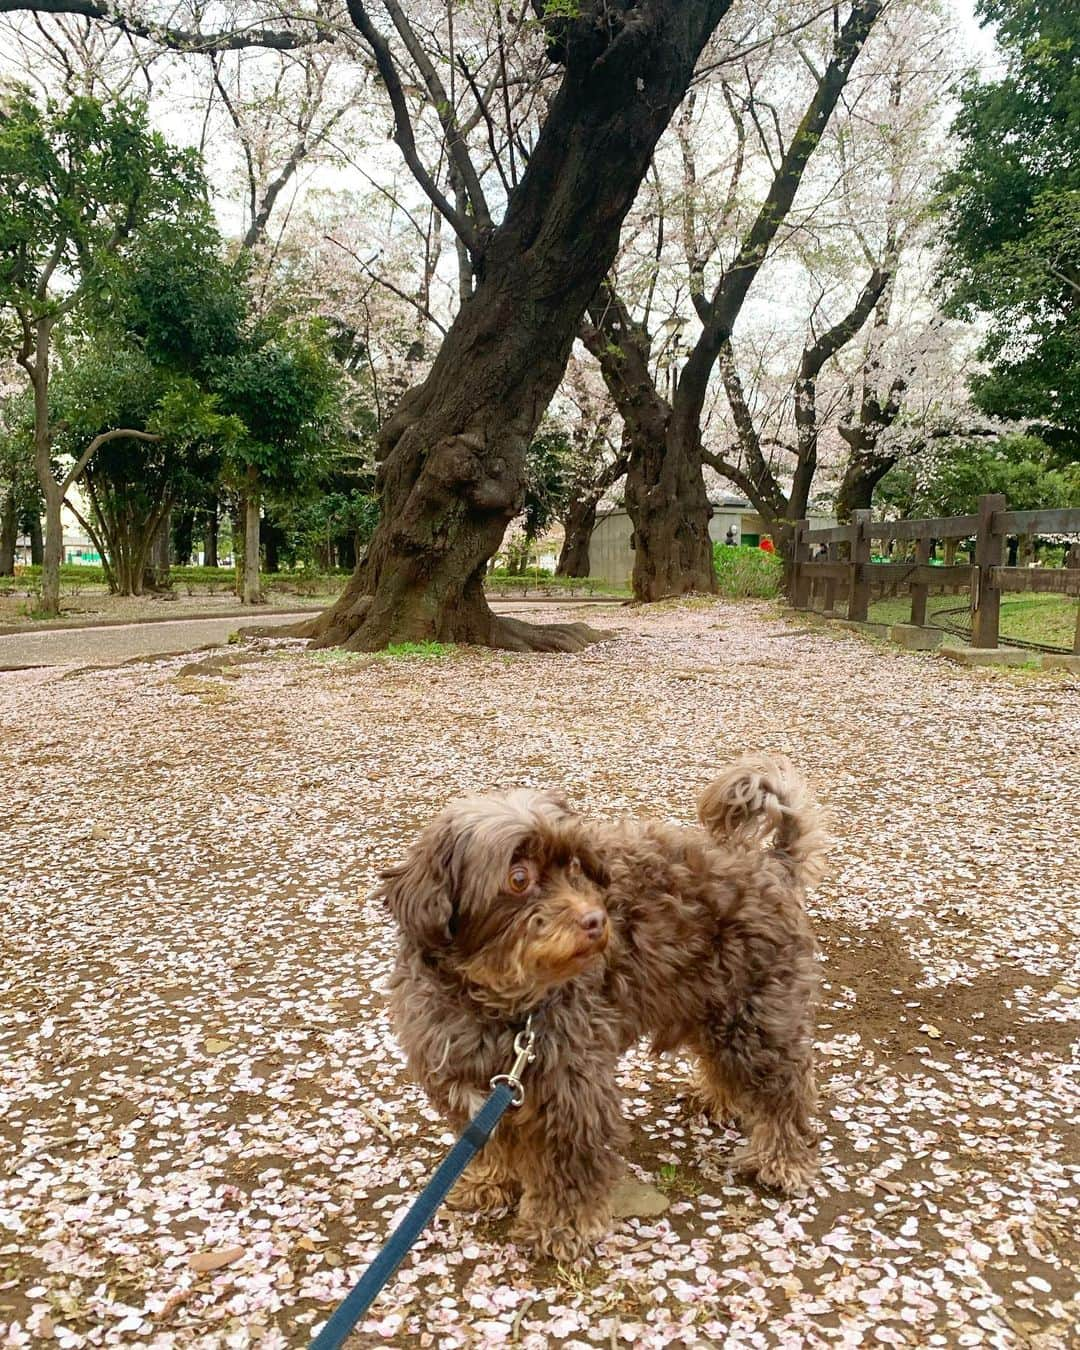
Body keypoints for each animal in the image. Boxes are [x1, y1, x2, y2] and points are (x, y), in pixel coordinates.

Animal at [380, 756, 826, 1258]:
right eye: (518, 878)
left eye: (575, 865)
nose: (597, 921)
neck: (497, 1002)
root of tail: (773, 864)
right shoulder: (465, 1083)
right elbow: (489, 1143)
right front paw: (487, 1182)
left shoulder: (573, 1089)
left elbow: (569, 1167)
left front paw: (560, 1227)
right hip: (715, 1006)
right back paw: (715, 1099)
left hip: (756, 1018)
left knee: (786, 1091)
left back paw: (782, 1161)